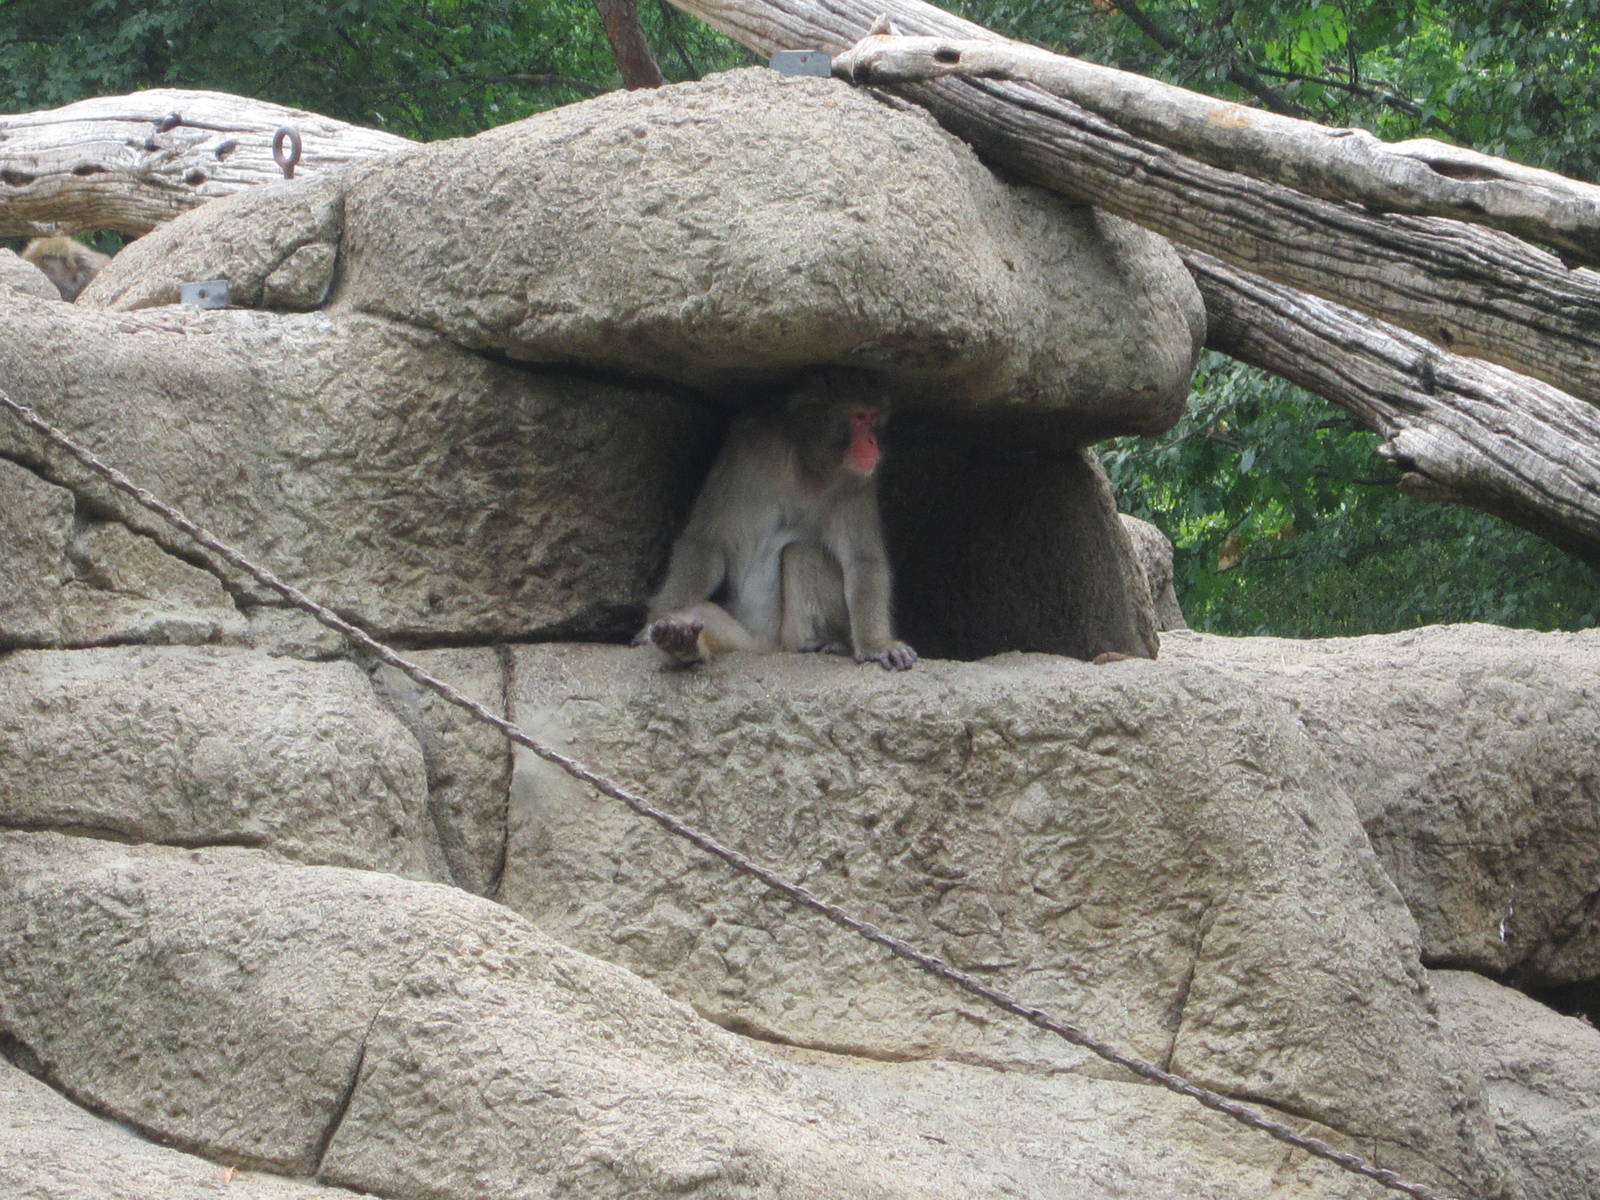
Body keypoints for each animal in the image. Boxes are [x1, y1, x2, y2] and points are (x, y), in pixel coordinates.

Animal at [640, 381, 918, 671]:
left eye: (874, 419)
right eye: (860, 418)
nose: (873, 442)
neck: (807, 468)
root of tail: (769, 648)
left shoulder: (858, 482)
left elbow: (862, 560)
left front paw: (877, 643)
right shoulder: (747, 449)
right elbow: (706, 541)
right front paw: (656, 621)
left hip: (786, 636)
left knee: (803, 551)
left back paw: (820, 643)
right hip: (745, 640)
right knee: (705, 615)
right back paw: (679, 640)